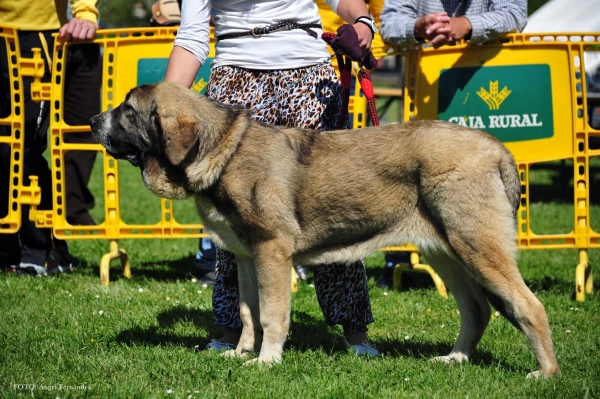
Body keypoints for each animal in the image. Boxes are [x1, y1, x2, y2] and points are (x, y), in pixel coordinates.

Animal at [91, 82, 560, 378]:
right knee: (477, 310)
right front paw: (241, 353)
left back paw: (545, 373)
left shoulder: (272, 251)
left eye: (128, 111)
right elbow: (247, 312)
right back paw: (455, 360)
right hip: (446, 252)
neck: (224, 151)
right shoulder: (246, 256)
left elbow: (272, 314)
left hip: (476, 246)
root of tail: (495, 146)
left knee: (528, 306)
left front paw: (266, 362)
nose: (94, 121)